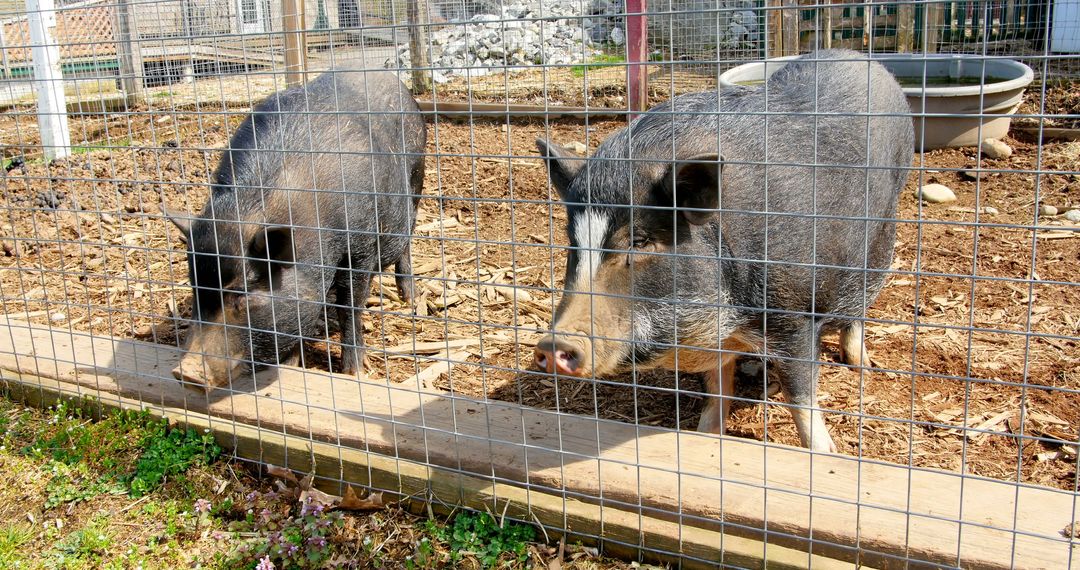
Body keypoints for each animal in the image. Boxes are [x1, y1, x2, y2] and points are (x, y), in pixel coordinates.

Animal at [531, 49, 911, 451]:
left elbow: (800, 396)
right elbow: (717, 392)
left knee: (861, 302)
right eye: (573, 243)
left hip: (883, 231)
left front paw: (825, 454)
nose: (552, 344)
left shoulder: (794, 316)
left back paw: (861, 365)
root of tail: (861, 57)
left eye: (641, 240)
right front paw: (705, 436)